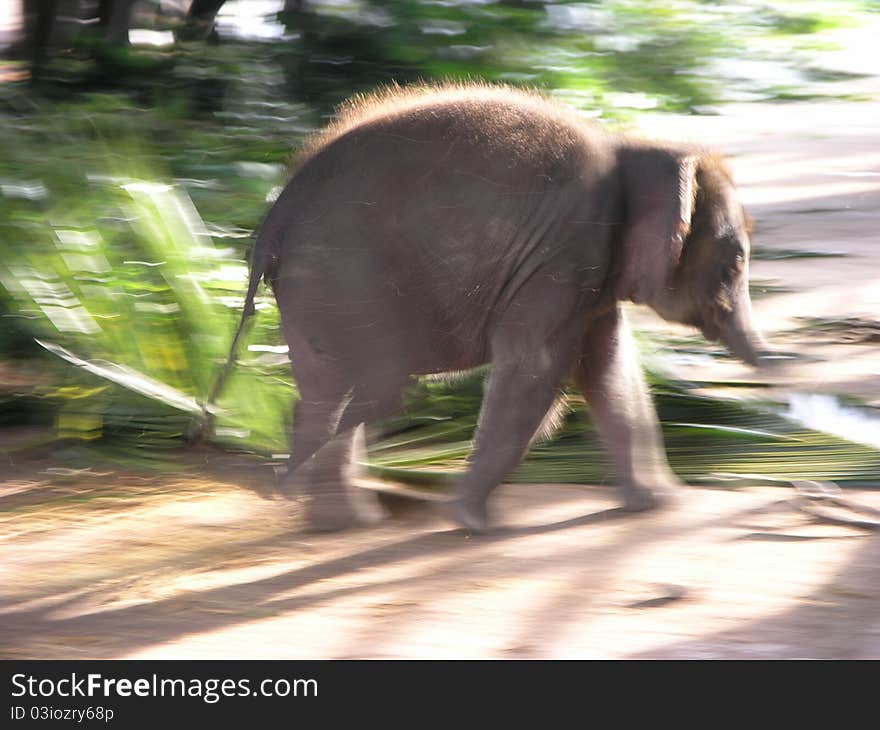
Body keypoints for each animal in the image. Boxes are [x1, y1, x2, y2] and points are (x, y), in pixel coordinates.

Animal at [230, 82, 768, 532]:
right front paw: (475, 522)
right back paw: (330, 507)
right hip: (344, 277)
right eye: (735, 263)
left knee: (333, 391)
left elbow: (611, 370)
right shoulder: (565, 251)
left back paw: (339, 519)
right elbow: (536, 369)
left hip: (316, 292)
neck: (632, 148)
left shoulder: (587, 275)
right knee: (373, 388)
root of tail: (270, 224)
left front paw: (660, 502)